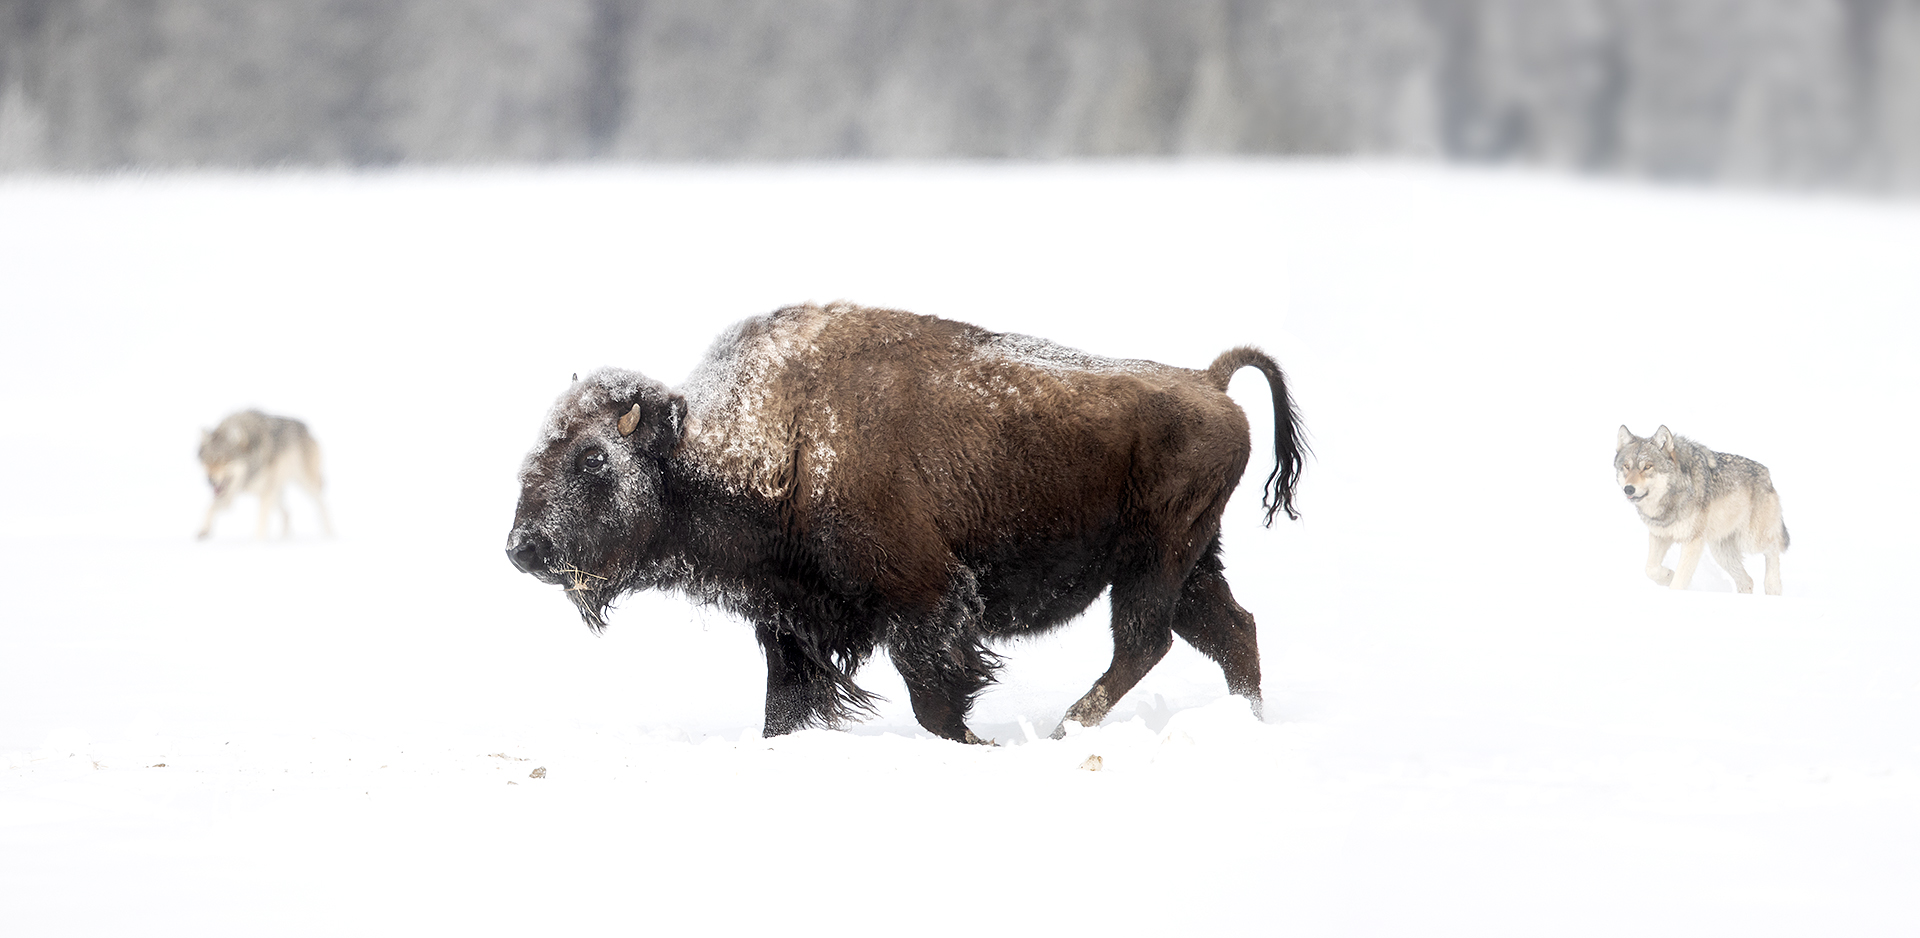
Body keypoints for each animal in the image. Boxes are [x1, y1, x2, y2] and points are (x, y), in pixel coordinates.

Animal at [197, 410, 334, 540]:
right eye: (207, 462)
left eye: (224, 461)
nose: (210, 480)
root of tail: (307, 429)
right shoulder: (229, 493)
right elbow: (210, 507)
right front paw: (203, 530)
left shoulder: (265, 493)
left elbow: (261, 522)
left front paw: (258, 542)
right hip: (277, 493)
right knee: (287, 513)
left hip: (305, 484)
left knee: (322, 506)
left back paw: (329, 535)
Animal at [506, 302, 1304, 743]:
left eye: (592, 459)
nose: (522, 548)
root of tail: (1209, 381)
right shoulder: (790, 626)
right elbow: (782, 709)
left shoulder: (927, 604)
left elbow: (935, 703)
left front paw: (978, 745)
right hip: (1191, 561)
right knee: (1228, 632)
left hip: (1155, 557)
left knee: (1149, 641)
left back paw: (1062, 730)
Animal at [1615, 425, 1787, 594]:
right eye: (1626, 467)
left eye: (1647, 467)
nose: (1628, 489)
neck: (1673, 496)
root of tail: (1767, 474)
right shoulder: (1659, 535)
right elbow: (1650, 569)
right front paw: (1668, 576)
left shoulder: (1692, 541)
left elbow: (1679, 581)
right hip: (1720, 551)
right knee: (1747, 581)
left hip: (1751, 540)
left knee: (1774, 547)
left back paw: (1773, 587)